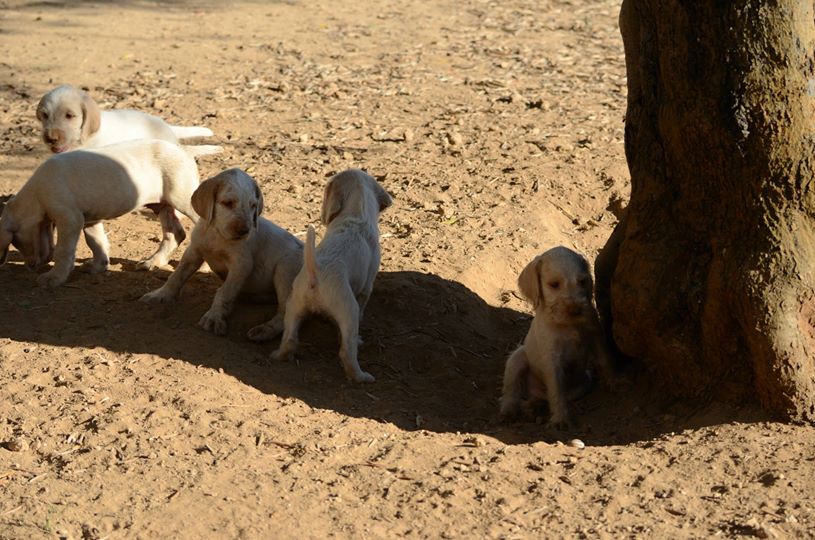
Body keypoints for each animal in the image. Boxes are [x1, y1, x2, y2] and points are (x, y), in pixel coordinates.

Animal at [0, 139, 200, 288]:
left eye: (15, 242)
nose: (30, 267)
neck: (36, 195)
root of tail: (184, 150)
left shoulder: (70, 219)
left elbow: (63, 251)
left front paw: (53, 278)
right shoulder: (89, 220)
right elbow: (96, 242)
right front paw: (98, 266)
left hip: (183, 198)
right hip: (162, 206)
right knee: (175, 234)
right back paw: (152, 262)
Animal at [140, 168, 304, 337]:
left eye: (253, 206)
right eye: (228, 203)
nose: (245, 231)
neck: (217, 234)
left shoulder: (241, 265)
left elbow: (224, 292)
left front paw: (214, 317)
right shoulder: (193, 252)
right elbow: (176, 276)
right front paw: (160, 295)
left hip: (286, 268)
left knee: (286, 314)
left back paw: (264, 330)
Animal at [271, 169, 392, 383]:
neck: (356, 215)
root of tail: (316, 271)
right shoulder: (366, 289)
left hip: (294, 305)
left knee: (289, 340)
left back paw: (278, 356)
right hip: (349, 310)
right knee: (346, 352)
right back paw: (361, 377)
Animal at [499, 246, 614, 429]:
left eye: (583, 281)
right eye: (554, 285)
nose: (576, 311)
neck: (567, 325)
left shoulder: (595, 333)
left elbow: (605, 359)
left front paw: (615, 382)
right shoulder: (552, 359)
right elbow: (556, 390)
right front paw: (561, 419)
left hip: (582, 384)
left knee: (542, 399)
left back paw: (532, 407)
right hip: (517, 359)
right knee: (511, 390)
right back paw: (510, 411)